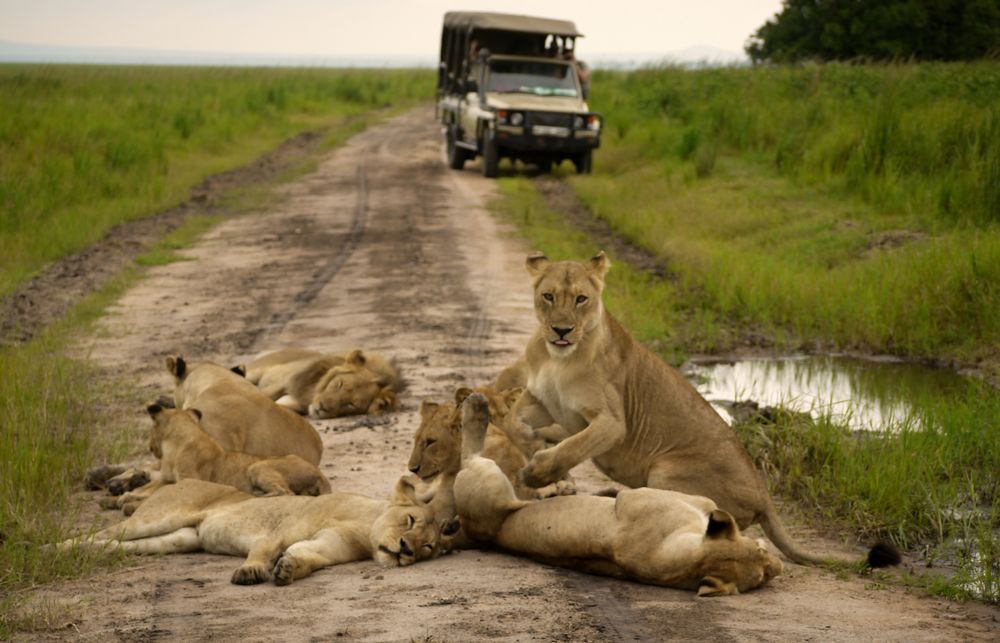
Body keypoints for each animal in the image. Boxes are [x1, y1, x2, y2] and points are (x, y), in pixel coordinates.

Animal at [68, 472, 458, 584]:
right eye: (410, 521)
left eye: (428, 549)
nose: (406, 550)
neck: (364, 528)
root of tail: (178, 479)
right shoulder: (280, 530)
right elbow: (264, 548)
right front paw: (252, 571)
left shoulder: (330, 546)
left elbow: (309, 556)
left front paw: (289, 568)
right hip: (157, 518)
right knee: (99, 534)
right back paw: (56, 549)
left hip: (175, 540)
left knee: (113, 545)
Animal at [452, 394, 780, 596]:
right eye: (761, 554)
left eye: (762, 575)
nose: (778, 568)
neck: (693, 559)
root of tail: (478, 533)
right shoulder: (656, 497)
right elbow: (708, 502)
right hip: (489, 478)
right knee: (470, 456)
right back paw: (476, 407)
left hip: (489, 482)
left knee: (472, 459)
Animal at [504, 252, 904, 568]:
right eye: (548, 296)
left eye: (581, 299)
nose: (561, 330)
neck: (558, 358)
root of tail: (765, 497)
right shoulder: (542, 400)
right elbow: (513, 422)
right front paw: (531, 448)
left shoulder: (613, 422)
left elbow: (573, 446)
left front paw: (537, 472)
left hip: (665, 469)